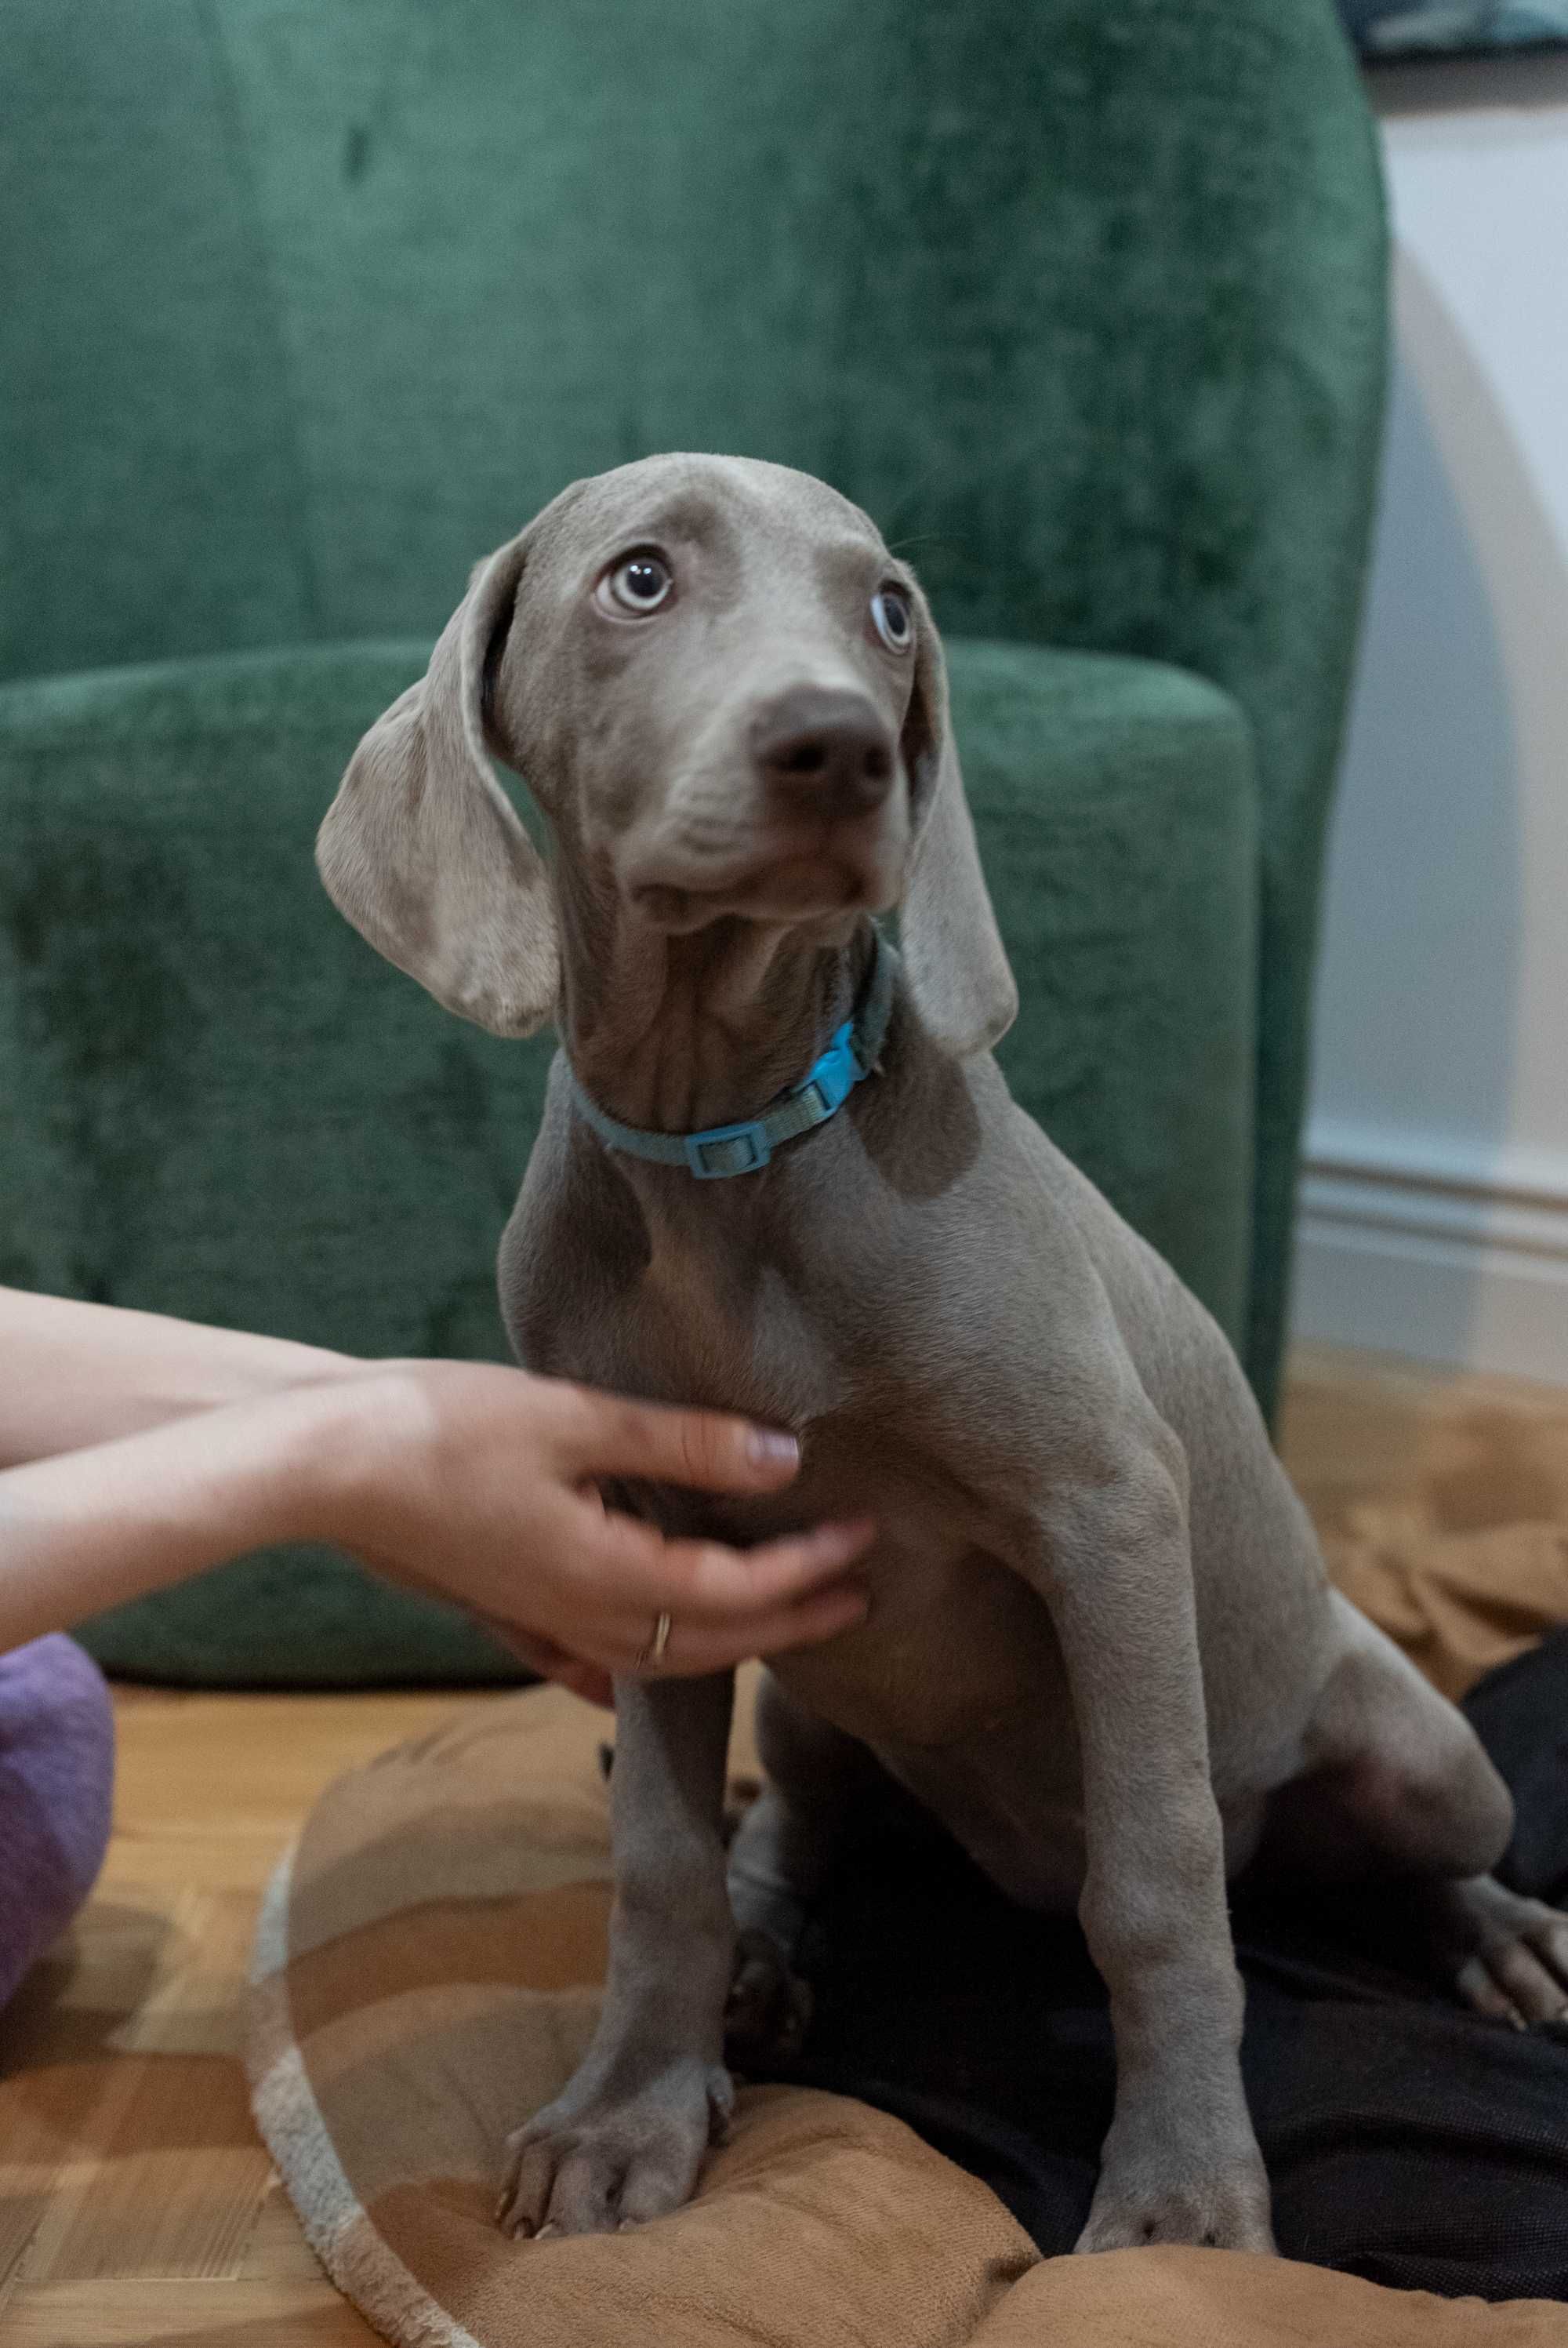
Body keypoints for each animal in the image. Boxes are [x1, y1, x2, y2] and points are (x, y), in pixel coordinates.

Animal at [319, 453, 1567, 2254]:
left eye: (891, 610)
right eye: (641, 577)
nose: (838, 747)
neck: (731, 1147)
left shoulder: (1106, 1506)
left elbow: (1156, 1875)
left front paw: (1180, 2197)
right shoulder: (652, 1536)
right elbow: (660, 1861)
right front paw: (632, 2107)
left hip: (1420, 1747)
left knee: (1414, 1845)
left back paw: (1498, 1936)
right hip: (809, 1700)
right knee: (796, 1821)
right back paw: (767, 1959)